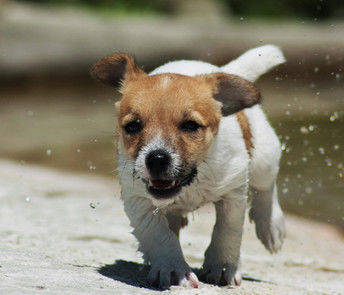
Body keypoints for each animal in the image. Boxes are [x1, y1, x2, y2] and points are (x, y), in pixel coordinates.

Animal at [90, 45, 284, 290]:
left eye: (191, 126)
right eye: (132, 126)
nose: (157, 158)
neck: (192, 181)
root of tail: (223, 69)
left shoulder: (233, 191)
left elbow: (227, 230)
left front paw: (222, 265)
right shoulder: (138, 200)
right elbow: (158, 234)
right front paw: (172, 268)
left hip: (264, 157)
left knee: (266, 187)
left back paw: (271, 226)